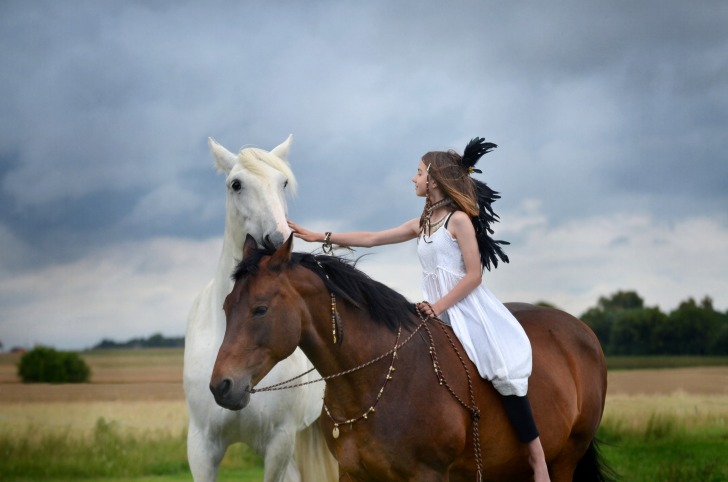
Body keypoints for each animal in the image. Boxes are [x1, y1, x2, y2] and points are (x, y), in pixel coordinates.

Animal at [209, 235, 608, 480]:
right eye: (227, 307)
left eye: (260, 309)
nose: (221, 386)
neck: (375, 382)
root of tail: (582, 332)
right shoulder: (352, 474)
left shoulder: (426, 475)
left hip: (564, 461)